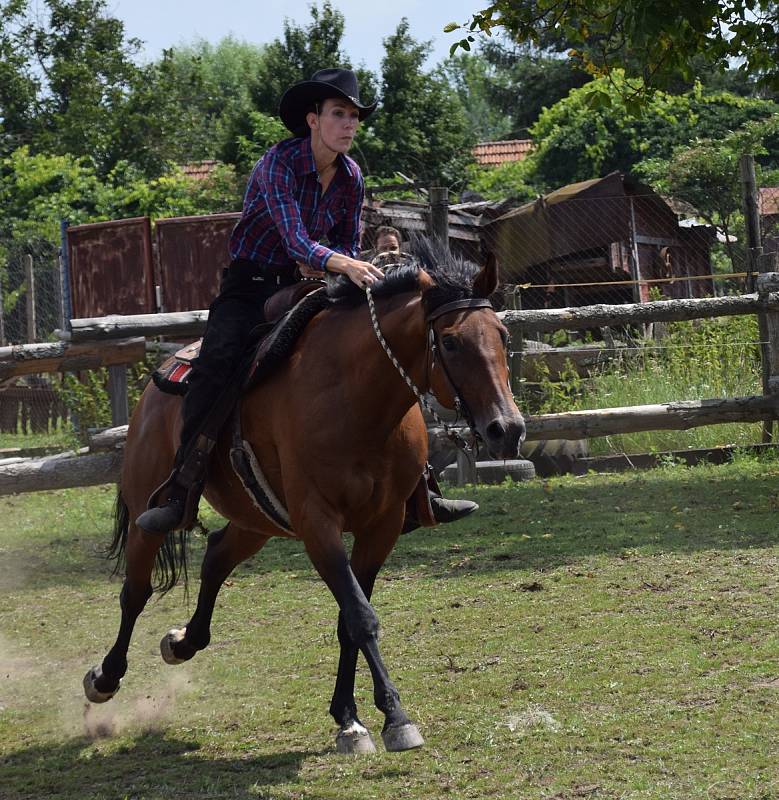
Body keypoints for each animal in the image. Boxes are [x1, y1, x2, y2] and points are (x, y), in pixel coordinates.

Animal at [84, 241, 524, 752]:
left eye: (502, 335)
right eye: (450, 342)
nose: (507, 429)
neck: (358, 399)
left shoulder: (383, 525)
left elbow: (349, 620)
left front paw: (350, 717)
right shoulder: (317, 523)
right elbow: (360, 616)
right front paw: (394, 718)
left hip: (257, 518)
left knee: (216, 556)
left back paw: (183, 642)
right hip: (148, 510)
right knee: (136, 590)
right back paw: (105, 677)